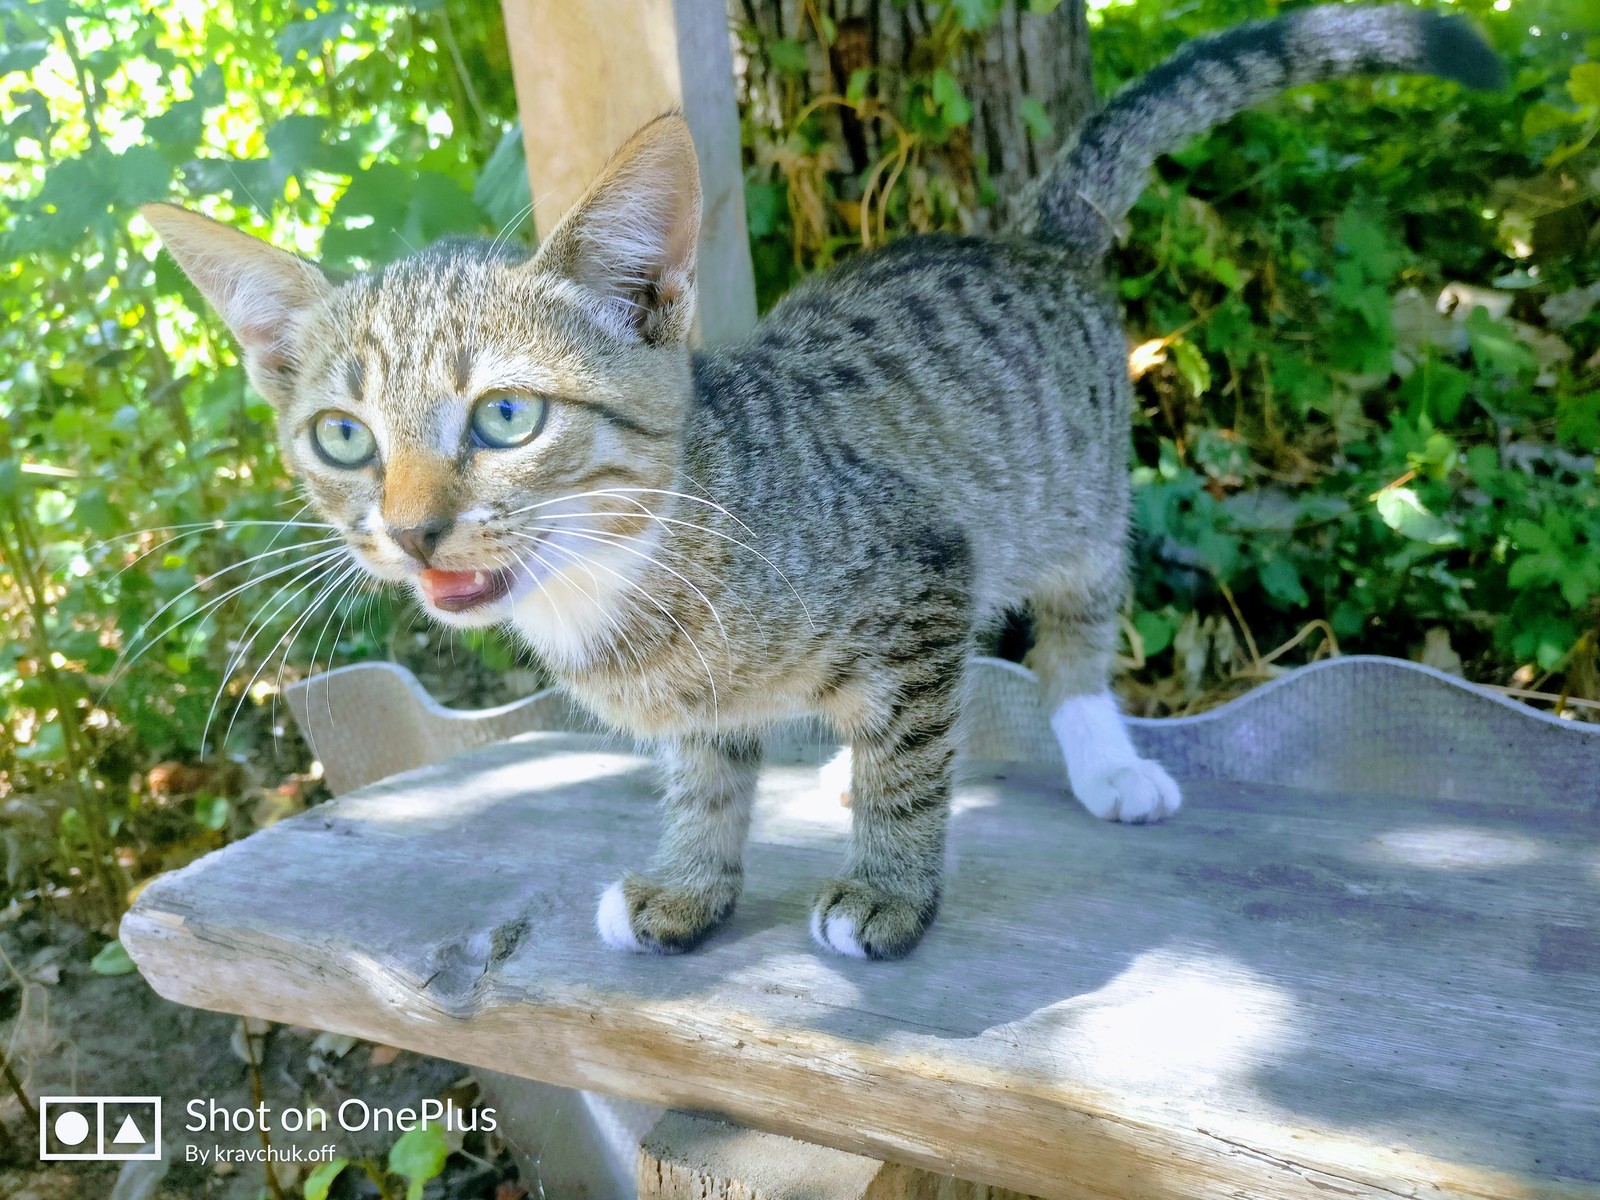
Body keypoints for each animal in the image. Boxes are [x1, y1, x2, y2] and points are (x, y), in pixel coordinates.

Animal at [144, 0, 1504, 960]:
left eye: (508, 416)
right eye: (341, 438)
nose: (413, 531)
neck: (624, 568)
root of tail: (1031, 238)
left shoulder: (921, 564)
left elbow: (913, 759)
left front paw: (889, 889)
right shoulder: (720, 697)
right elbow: (707, 774)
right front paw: (692, 883)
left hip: (1074, 503)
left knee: (1067, 639)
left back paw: (1097, 757)